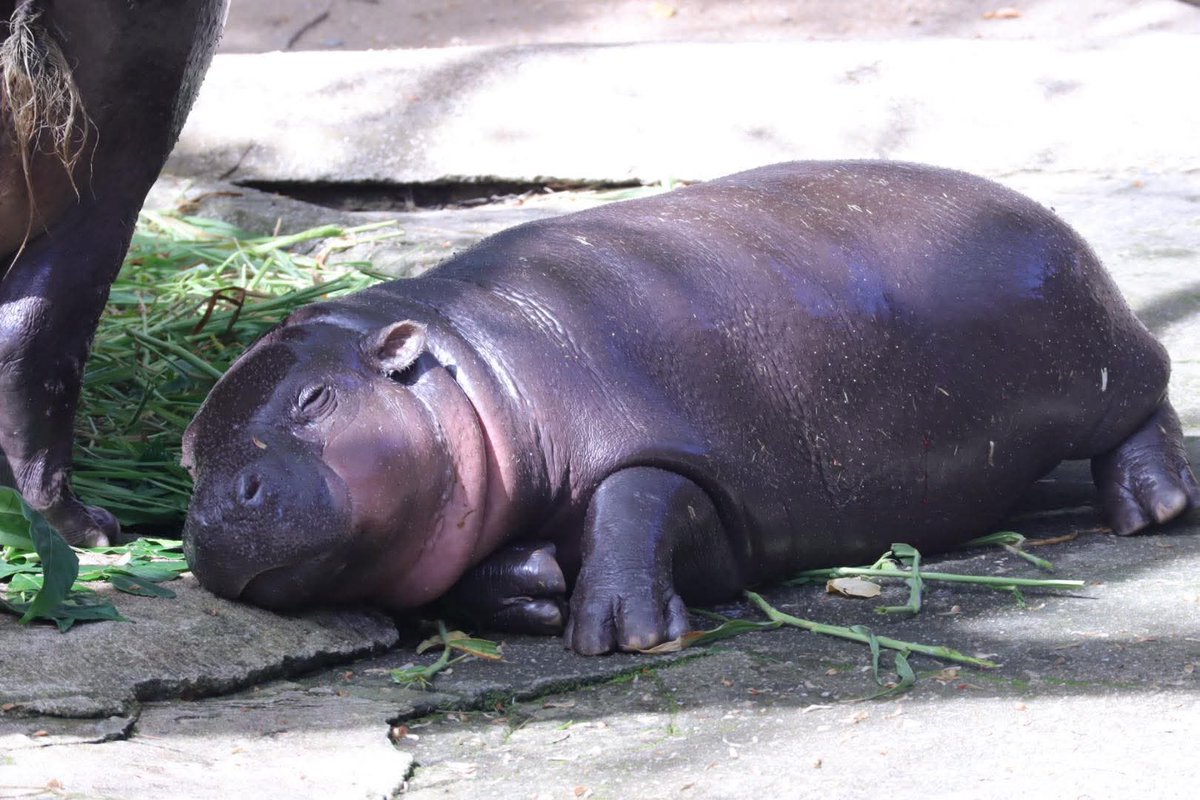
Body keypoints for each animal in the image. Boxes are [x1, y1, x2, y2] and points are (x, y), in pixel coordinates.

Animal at [181, 161, 1199, 655]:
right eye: (191, 450)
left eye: (316, 397)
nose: (218, 508)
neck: (473, 367)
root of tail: (1036, 205)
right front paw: (532, 587)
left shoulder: (670, 453)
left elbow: (634, 502)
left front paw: (619, 633)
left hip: (1095, 364)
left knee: (1149, 399)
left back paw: (1152, 509)